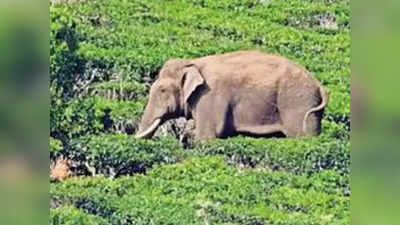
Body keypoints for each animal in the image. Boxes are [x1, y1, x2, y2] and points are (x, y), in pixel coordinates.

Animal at [135, 50, 328, 141]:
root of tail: (319, 85)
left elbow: (207, 136)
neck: (192, 62)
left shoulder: (209, 97)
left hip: (298, 104)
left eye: (162, 90)